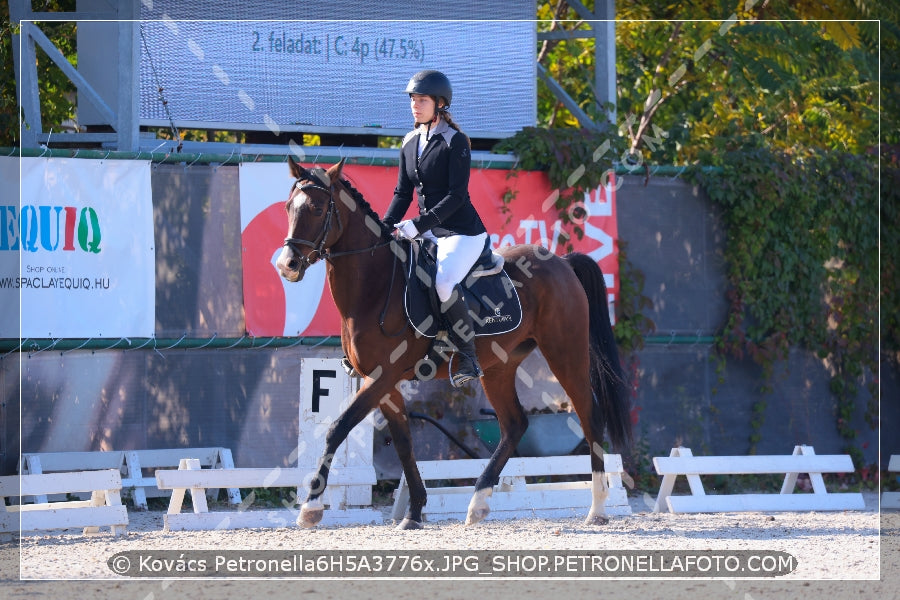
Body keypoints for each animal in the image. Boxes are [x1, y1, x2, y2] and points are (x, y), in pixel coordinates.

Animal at [274, 156, 632, 528]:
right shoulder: (384, 382)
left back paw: (597, 508)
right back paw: (478, 503)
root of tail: (562, 262)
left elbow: (338, 428)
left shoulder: (382, 376)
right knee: (515, 424)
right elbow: (403, 442)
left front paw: (311, 507)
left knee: (589, 414)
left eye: (317, 208)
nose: (288, 265)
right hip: (500, 367)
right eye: (288, 207)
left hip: (564, 352)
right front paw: (414, 512)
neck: (375, 286)